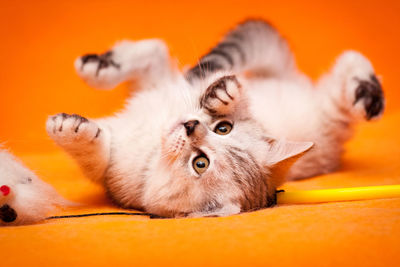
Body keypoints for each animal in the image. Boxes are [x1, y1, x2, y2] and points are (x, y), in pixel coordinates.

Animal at [47, 20, 384, 218]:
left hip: (331, 111)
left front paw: (70, 130)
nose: (191, 126)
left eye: (200, 163)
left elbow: (96, 155)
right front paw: (226, 93)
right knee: (160, 53)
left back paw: (366, 96)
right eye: (224, 128)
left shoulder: (112, 175)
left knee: (346, 68)